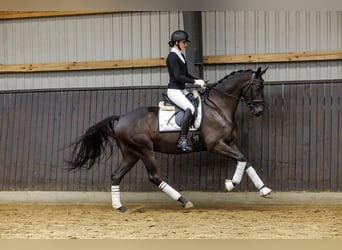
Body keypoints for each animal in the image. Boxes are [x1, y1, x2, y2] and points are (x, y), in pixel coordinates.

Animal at [69, 66, 272, 211]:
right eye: (257, 86)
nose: (259, 111)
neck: (218, 107)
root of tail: (121, 118)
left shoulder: (230, 143)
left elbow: (245, 161)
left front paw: (264, 190)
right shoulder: (216, 145)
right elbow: (241, 159)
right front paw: (231, 184)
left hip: (131, 153)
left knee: (116, 175)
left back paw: (120, 207)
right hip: (144, 150)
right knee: (154, 176)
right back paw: (184, 201)